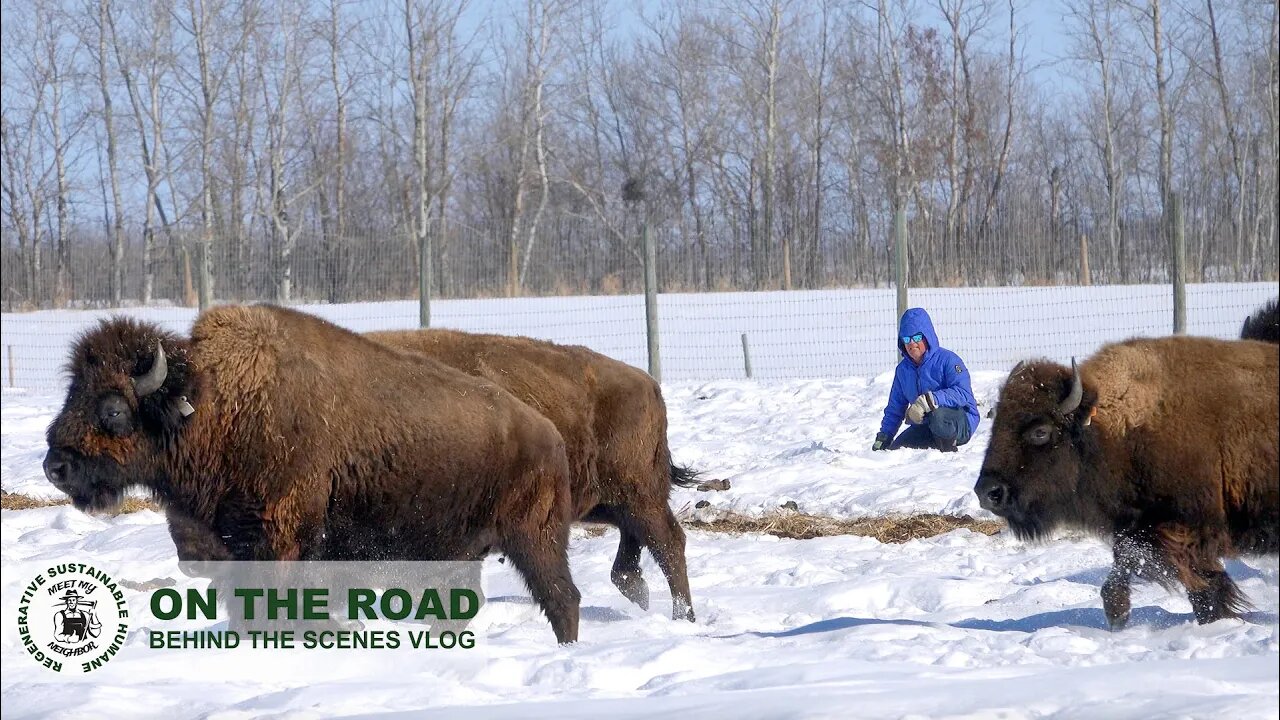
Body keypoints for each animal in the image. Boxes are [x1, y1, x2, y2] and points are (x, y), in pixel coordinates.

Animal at [40, 304, 581, 640]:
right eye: (73, 392)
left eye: (113, 409)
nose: (55, 466)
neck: (214, 403)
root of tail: (549, 433)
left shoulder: (279, 537)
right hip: (458, 555)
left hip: (534, 537)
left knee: (561, 597)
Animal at [366, 327, 696, 620]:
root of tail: (648, 383)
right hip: (606, 501)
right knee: (635, 543)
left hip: (637, 494)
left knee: (668, 542)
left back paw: (683, 616)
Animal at [972, 333, 1274, 625]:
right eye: (998, 423)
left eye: (1040, 431)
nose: (988, 492)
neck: (1117, 428)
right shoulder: (1138, 526)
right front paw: (1118, 614)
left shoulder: (1182, 527)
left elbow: (1193, 578)